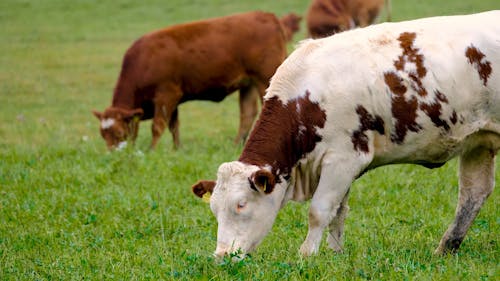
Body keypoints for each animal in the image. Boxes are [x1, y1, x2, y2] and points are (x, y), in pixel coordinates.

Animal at [93, 10, 300, 150]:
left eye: (119, 133)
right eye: (103, 134)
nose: (113, 155)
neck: (144, 62)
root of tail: (267, 15)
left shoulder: (166, 95)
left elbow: (157, 126)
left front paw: (152, 150)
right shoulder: (173, 100)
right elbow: (174, 126)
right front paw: (176, 149)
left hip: (264, 79)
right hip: (248, 83)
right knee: (247, 115)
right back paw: (237, 145)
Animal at [192, 10, 500, 256]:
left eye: (241, 205)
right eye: (214, 209)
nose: (221, 256)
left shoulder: (342, 159)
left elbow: (319, 211)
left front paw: (307, 254)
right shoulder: (341, 165)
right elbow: (338, 212)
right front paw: (334, 253)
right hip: (479, 142)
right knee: (474, 193)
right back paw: (445, 248)